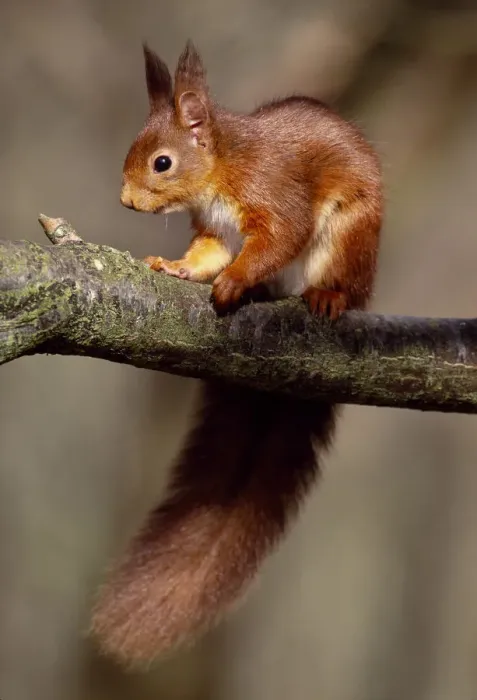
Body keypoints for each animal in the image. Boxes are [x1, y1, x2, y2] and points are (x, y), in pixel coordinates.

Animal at [90, 40, 382, 665]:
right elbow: (208, 253)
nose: (125, 201)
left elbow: (278, 238)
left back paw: (325, 296)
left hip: (350, 238)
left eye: (162, 163)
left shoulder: (273, 194)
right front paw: (176, 268)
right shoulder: (215, 228)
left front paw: (233, 283)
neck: (222, 167)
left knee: (336, 277)